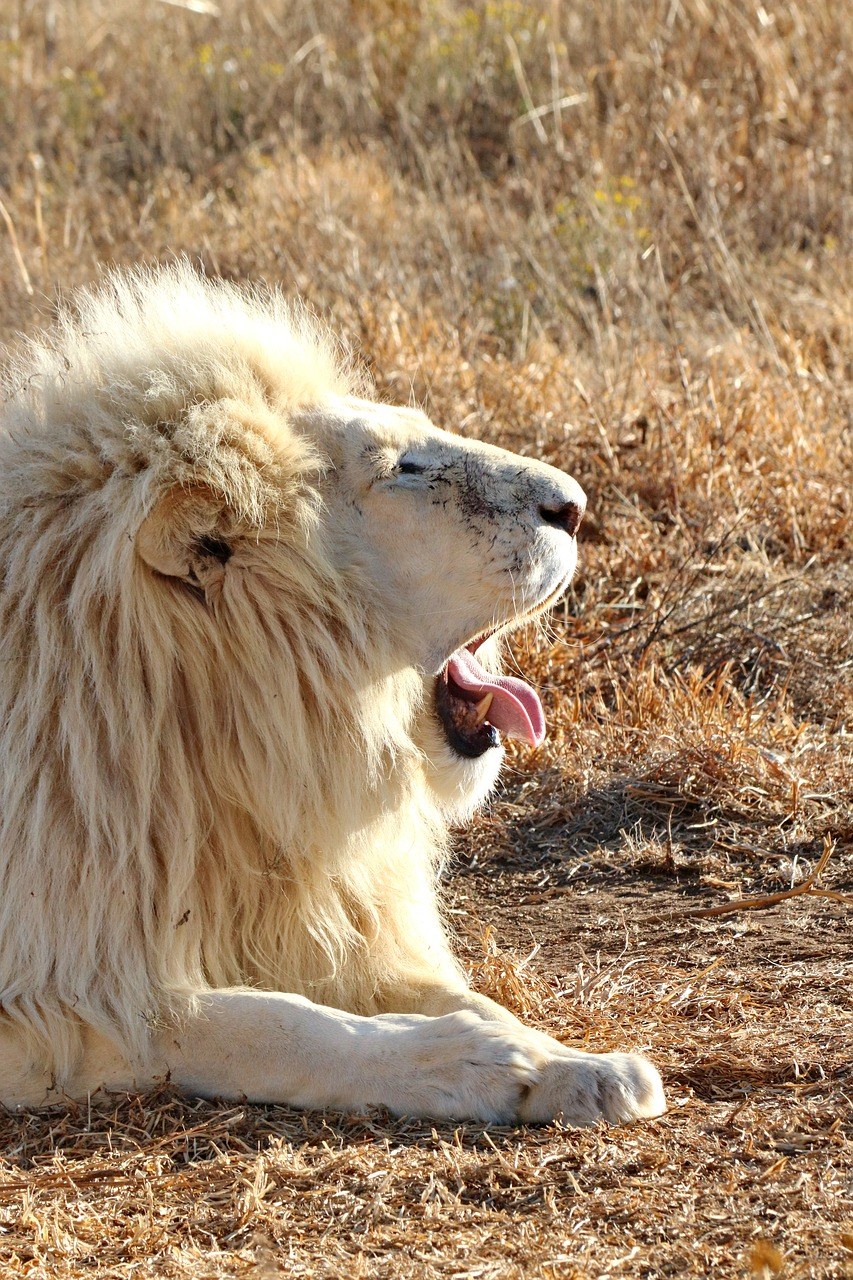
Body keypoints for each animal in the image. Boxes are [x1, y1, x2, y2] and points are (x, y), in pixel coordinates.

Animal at [0, 264, 666, 1126]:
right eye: (400, 468)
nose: (575, 506)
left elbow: (459, 996)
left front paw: (568, 1062)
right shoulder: (57, 996)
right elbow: (267, 1025)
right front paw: (475, 1063)